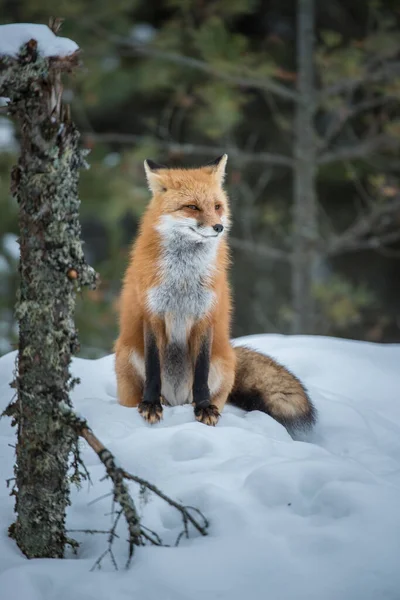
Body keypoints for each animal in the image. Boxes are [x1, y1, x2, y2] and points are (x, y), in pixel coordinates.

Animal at [114, 157, 318, 434]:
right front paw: (150, 405)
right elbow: (153, 370)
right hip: (130, 355)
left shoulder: (205, 317)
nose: (219, 227)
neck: (183, 280)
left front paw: (204, 409)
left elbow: (201, 375)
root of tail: (176, 400)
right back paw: (157, 402)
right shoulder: (153, 314)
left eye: (217, 206)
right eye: (192, 207)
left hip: (221, 362)